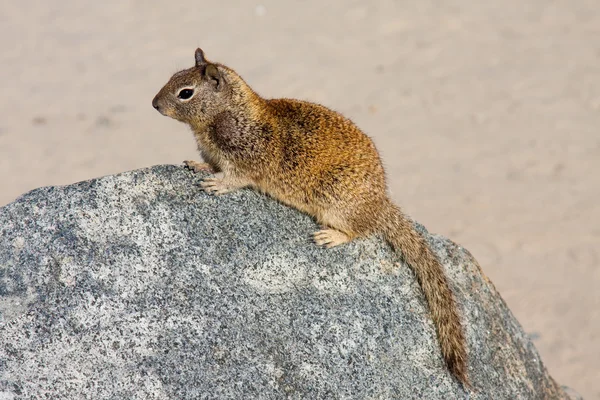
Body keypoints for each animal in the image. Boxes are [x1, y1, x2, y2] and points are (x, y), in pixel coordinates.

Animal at [150, 48, 468, 386]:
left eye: (186, 93)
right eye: (172, 77)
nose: (154, 104)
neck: (227, 113)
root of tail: (380, 203)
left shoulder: (245, 159)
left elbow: (235, 179)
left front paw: (217, 184)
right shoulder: (214, 153)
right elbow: (210, 164)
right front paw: (197, 166)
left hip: (334, 199)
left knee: (360, 230)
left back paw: (332, 235)